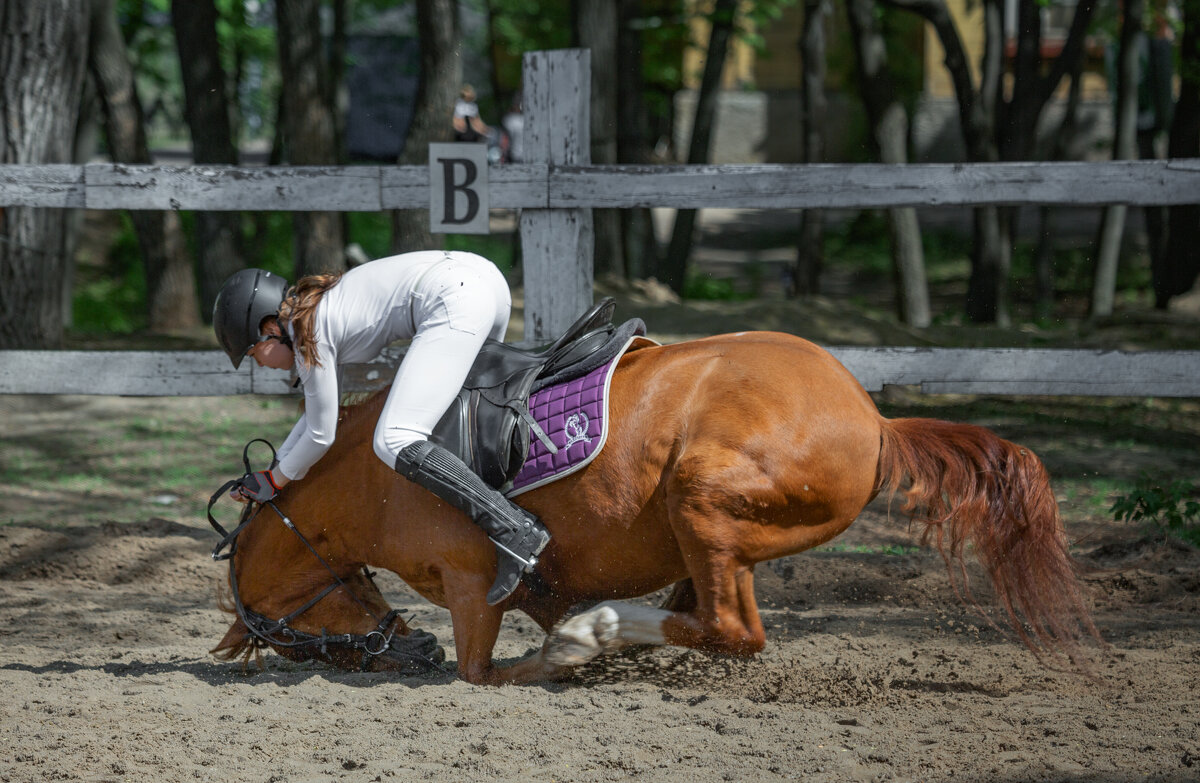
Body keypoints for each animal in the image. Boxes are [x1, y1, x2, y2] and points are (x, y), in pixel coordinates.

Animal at [213, 331, 1099, 686]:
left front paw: (564, 652)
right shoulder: (538, 586)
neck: (378, 468)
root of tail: (874, 418)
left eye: (294, 638)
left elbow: (486, 672)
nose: (410, 649)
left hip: (700, 495)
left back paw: (598, 633)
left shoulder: (474, 592)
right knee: (707, 618)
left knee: (732, 629)